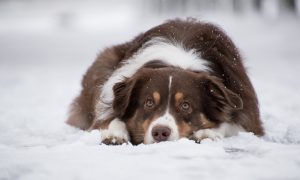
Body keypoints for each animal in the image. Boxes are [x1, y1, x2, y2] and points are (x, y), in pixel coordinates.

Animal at [67, 18, 264, 145]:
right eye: (148, 103)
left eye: (185, 105)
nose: (160, 132)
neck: (178, 62)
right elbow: (110, 118)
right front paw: (114, 133)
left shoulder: (248, 114)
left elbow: (230, 123)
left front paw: (207, 132)